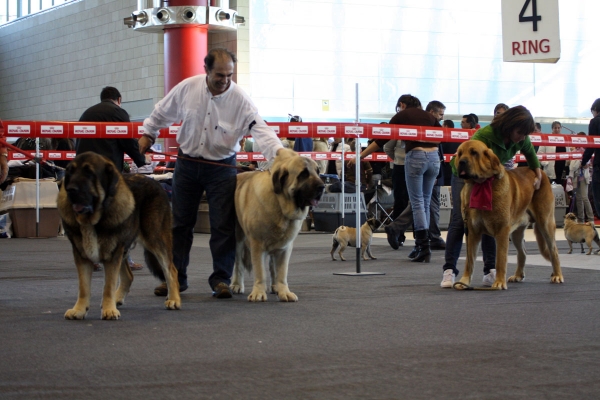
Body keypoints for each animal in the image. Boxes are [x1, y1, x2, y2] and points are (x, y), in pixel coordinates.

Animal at [58, 152, 180, 320]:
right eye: (71, 172)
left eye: (89, 173)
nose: (70, 189)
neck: (94, 219)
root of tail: (154, 181)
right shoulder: (82, 255)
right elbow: (83, 287)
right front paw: (80, 309)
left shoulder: (113, 254)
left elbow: (109, 284)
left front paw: (109, 310)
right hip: (124, 247)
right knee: (129, 276)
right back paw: (117, 299)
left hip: (155, 239)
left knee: (171, 269)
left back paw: (174, 299)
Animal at [231, 148, 324, 302]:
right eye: (303, 174)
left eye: (318, 172)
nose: (322, 187)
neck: (280, 204)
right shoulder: (257, 245)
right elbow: (260, 271)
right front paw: (258, 293)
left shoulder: (285, 247)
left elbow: (281, 271)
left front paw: (284, 292)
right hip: (238, 238)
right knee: (238, 262)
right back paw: (236, 285)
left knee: (272, 266)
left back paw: (275, 287)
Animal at [454, 139, 564, 290]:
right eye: (459, 154)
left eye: (474, 153)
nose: (462, 162)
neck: (481, 185)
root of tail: (540, 171)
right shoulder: (472, 232)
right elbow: (469, 261)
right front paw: (464, 282)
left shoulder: (502, 231)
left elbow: (500, 259)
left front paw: (499, 282)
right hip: (516, 232)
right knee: (522, 253)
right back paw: (518, 275)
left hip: (545, 223)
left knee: (554, 251)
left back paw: (557, 275)